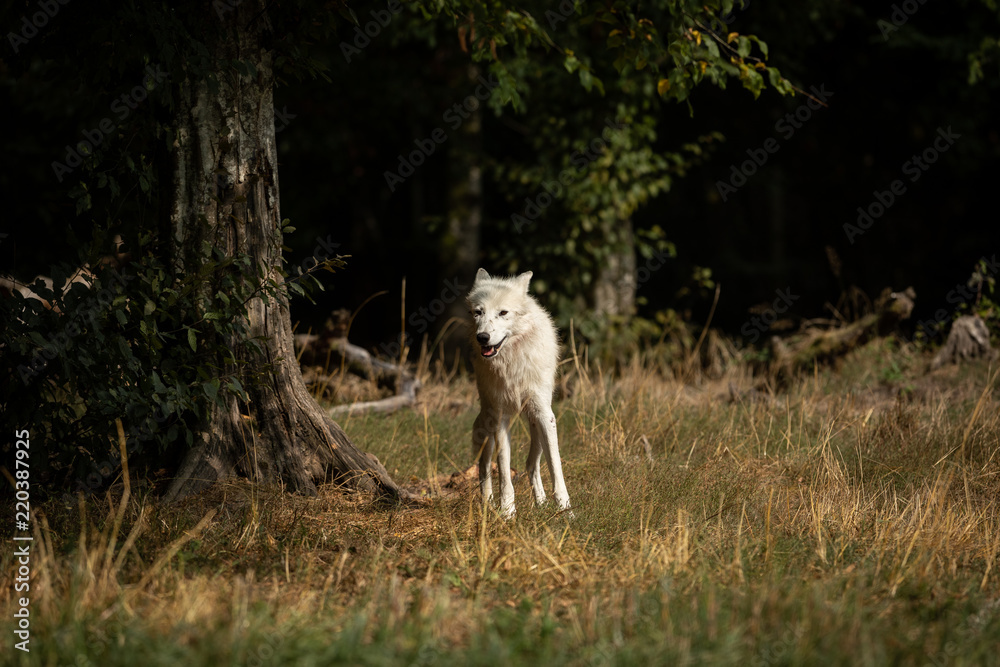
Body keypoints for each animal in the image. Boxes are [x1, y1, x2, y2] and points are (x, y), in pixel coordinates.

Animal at [467, 268, 571, 518]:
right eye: (478, 312)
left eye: (503, 312)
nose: (483, 337)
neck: (512, 360)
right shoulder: (501, 417)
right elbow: (504, 469)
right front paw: (507, 512)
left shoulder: (545, 415)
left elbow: (555, 466)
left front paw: (565, 510)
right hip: (488, 420)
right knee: (484, 465)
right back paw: (488, 505)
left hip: (536, 423)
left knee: (531, 464)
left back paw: (541, 503)